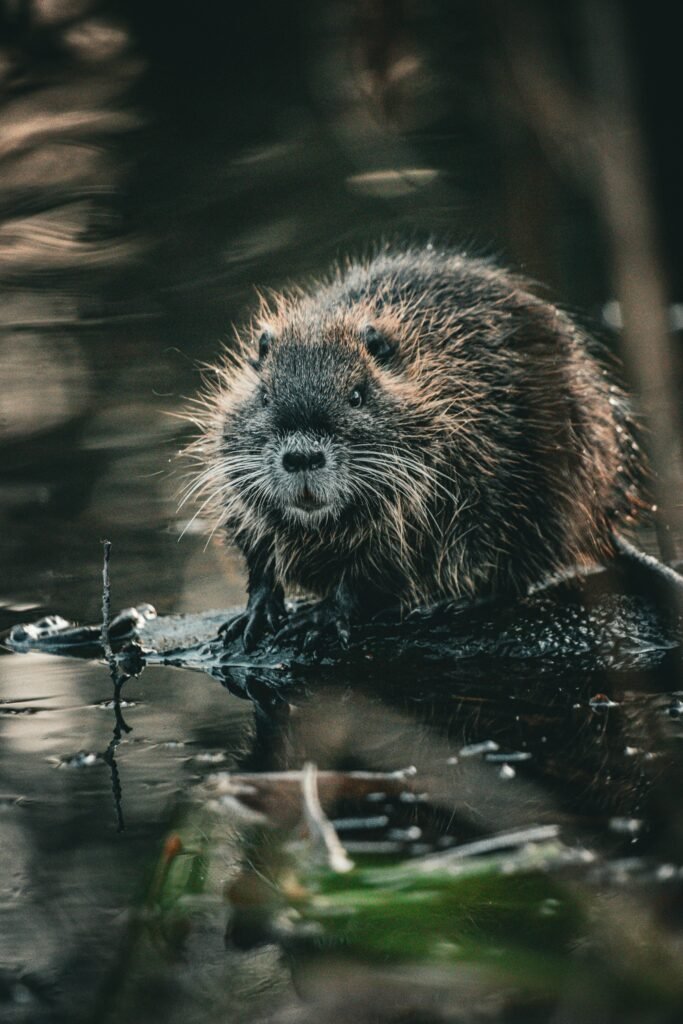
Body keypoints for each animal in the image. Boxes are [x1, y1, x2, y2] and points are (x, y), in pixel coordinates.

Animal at [184, 242, 651, 647]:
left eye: (357, 395)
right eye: (264, 396)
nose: (302, 457)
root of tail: (603, 519)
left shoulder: (434, 492)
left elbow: (375, 569)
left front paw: (322, 617)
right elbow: (258, 551)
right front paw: (255, 614)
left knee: (515, 570)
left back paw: (449, 604)